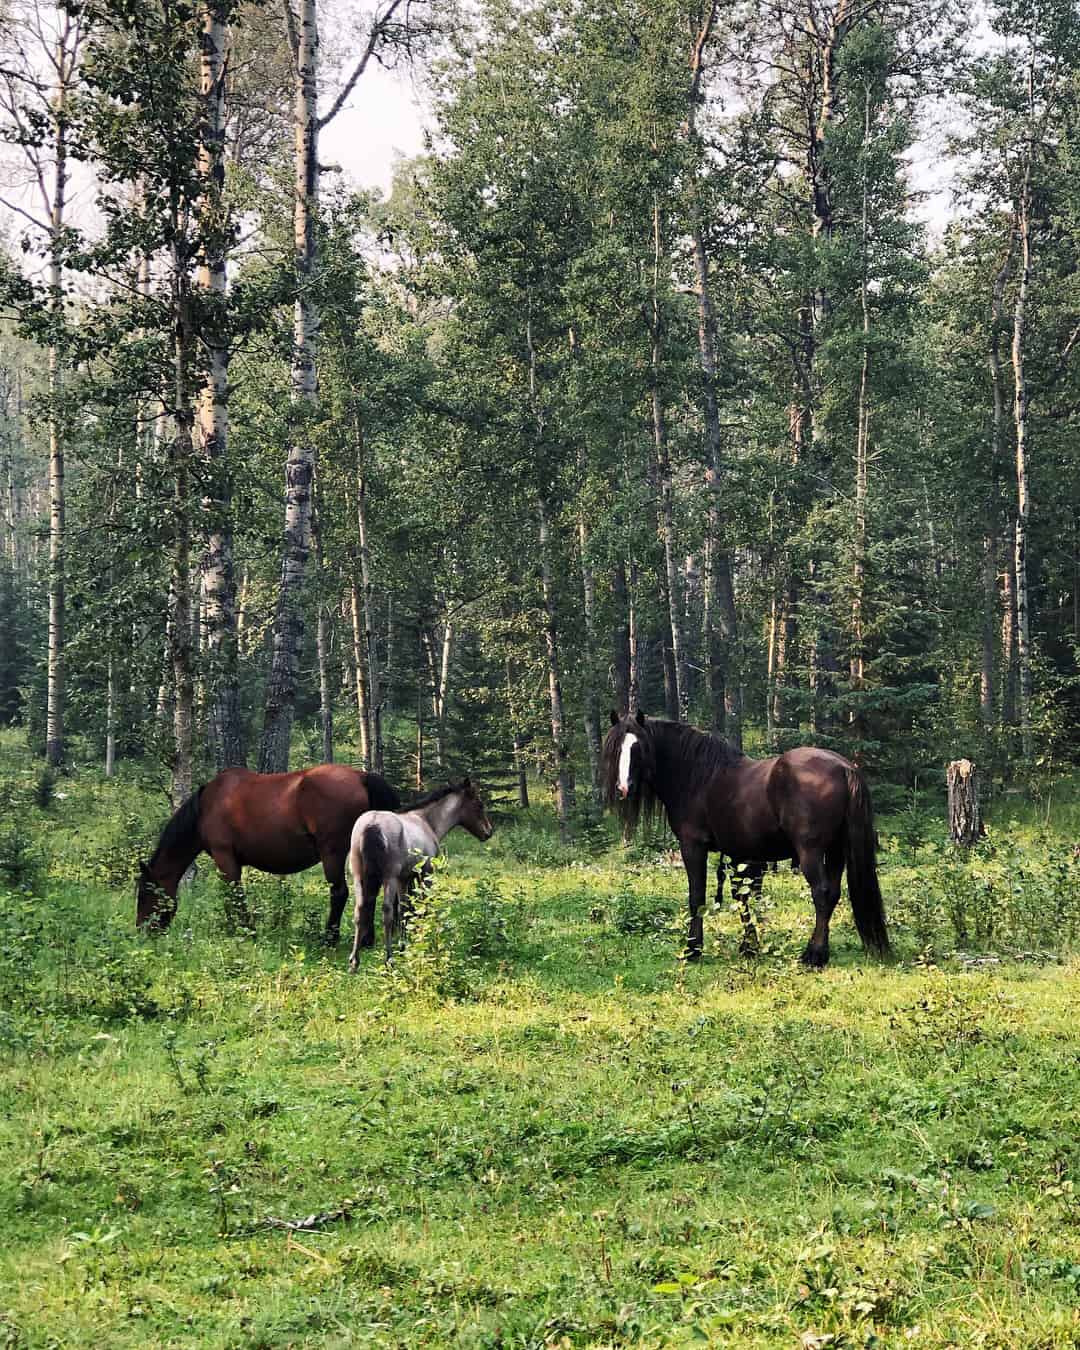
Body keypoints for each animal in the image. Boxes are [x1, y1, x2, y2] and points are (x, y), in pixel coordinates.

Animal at [137, 766, 402, 945]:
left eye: (145, 893)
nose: (142, 930)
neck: (206, 806)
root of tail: (362, 777)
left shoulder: (225, 858)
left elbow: (233, 896)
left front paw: (244, 931)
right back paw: (367, 939)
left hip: (333, 853)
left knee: (340, 893)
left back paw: (329, 938)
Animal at [351, 777, 494, 966]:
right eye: (479, 804)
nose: (488, 832)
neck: (427, 822)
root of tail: (372, 825)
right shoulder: (426, 874)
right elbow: (425, 907)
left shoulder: (404, 879)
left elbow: (404, 910)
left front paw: (403, 946)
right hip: (388, 877)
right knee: (387, 912)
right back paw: (389, 959)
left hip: (359, 876)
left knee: (359, 911)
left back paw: (354, 961)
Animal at [602, 712, 891, 966]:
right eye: (616, 748)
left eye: (638, 747)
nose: (624, 787)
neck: (698, 777)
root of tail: (844, 767)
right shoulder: (739, 852)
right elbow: (742, 895)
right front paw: (749, 946)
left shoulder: (693, 846)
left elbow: (697, 897)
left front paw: (693, 949)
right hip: (835, 850)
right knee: (832, 893)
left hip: (811, 851)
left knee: (822, 893)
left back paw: (813, 955)